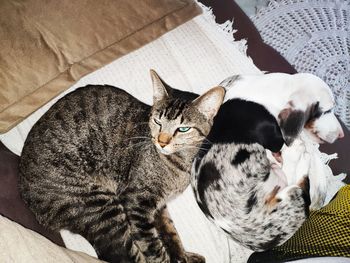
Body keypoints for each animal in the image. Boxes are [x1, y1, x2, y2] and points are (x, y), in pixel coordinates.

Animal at [19, 70, 224, 263]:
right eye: (158, 122)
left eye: (183, 129)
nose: (162, 141)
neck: (179, 162)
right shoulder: (136, 201)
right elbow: (154, 248)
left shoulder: (158, 207)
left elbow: (171, 233)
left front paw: (182, 256)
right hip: (101, 206)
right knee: (121, 254)